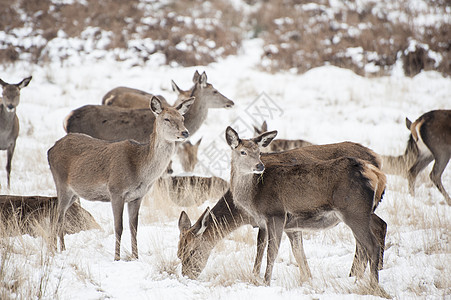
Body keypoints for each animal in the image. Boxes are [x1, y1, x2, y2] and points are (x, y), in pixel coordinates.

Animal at [48, 96, 195, 260]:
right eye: (167, 118)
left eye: (182, 118)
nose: (185, 132)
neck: (140, 171)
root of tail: (50, 149)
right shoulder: (116, 191)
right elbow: (119, 227)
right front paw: (117, 258)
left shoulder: (137, 197)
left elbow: (134, 227)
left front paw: (136, 257)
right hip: (61, 183)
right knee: (58, 218)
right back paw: (58, 250)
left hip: (74, 192)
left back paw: (59, 250)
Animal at [178, 141, 386, 284]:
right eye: (178, 254)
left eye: (191, 251)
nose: (187, 275)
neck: (241, 212)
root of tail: (378, 162)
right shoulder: (281, 224)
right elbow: (296, 252)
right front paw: (306, 279)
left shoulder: (268, 220)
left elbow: (261, 249)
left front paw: (256, 278)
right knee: (373, 232)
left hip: (356, 211)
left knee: (373, 233)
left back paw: (361, 276)